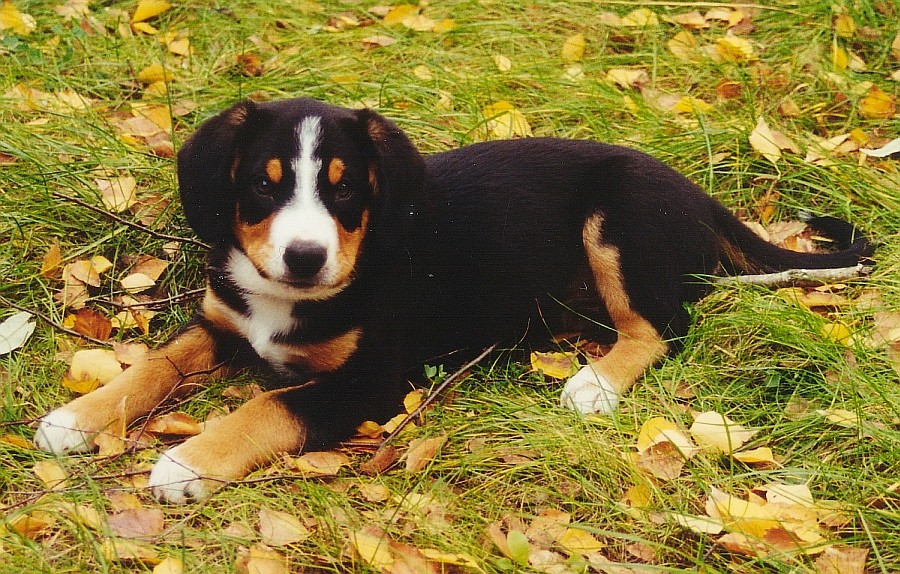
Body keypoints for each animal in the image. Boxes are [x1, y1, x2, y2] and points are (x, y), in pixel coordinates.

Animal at [35, 98, 872, 504]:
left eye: (345, 188)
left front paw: (189, 460)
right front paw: (79, 416)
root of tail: (695, 193)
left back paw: (594, 382)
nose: (304, 257)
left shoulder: (372, 381)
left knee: (662, 326)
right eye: (263, 186)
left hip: (617, 217)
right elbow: (154, 364)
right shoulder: (220, 320)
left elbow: (268, 407)